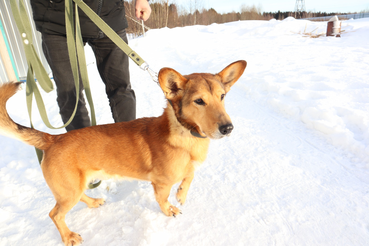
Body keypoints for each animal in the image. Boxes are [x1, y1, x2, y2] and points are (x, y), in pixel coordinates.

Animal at [0, 60, 247, 246]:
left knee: (78, 197)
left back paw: (93, 203)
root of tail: (53, 138)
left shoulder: (187, 168)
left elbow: (190, 175)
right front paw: (170, 210)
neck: (184, 132)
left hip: (75, 186)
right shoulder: (160, 182)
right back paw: (68, 237)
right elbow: (163, 199)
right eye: (199, 101)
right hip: (68, 191)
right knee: (55, 214)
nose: (228, 128)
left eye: (222, 96)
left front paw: (182, 194)